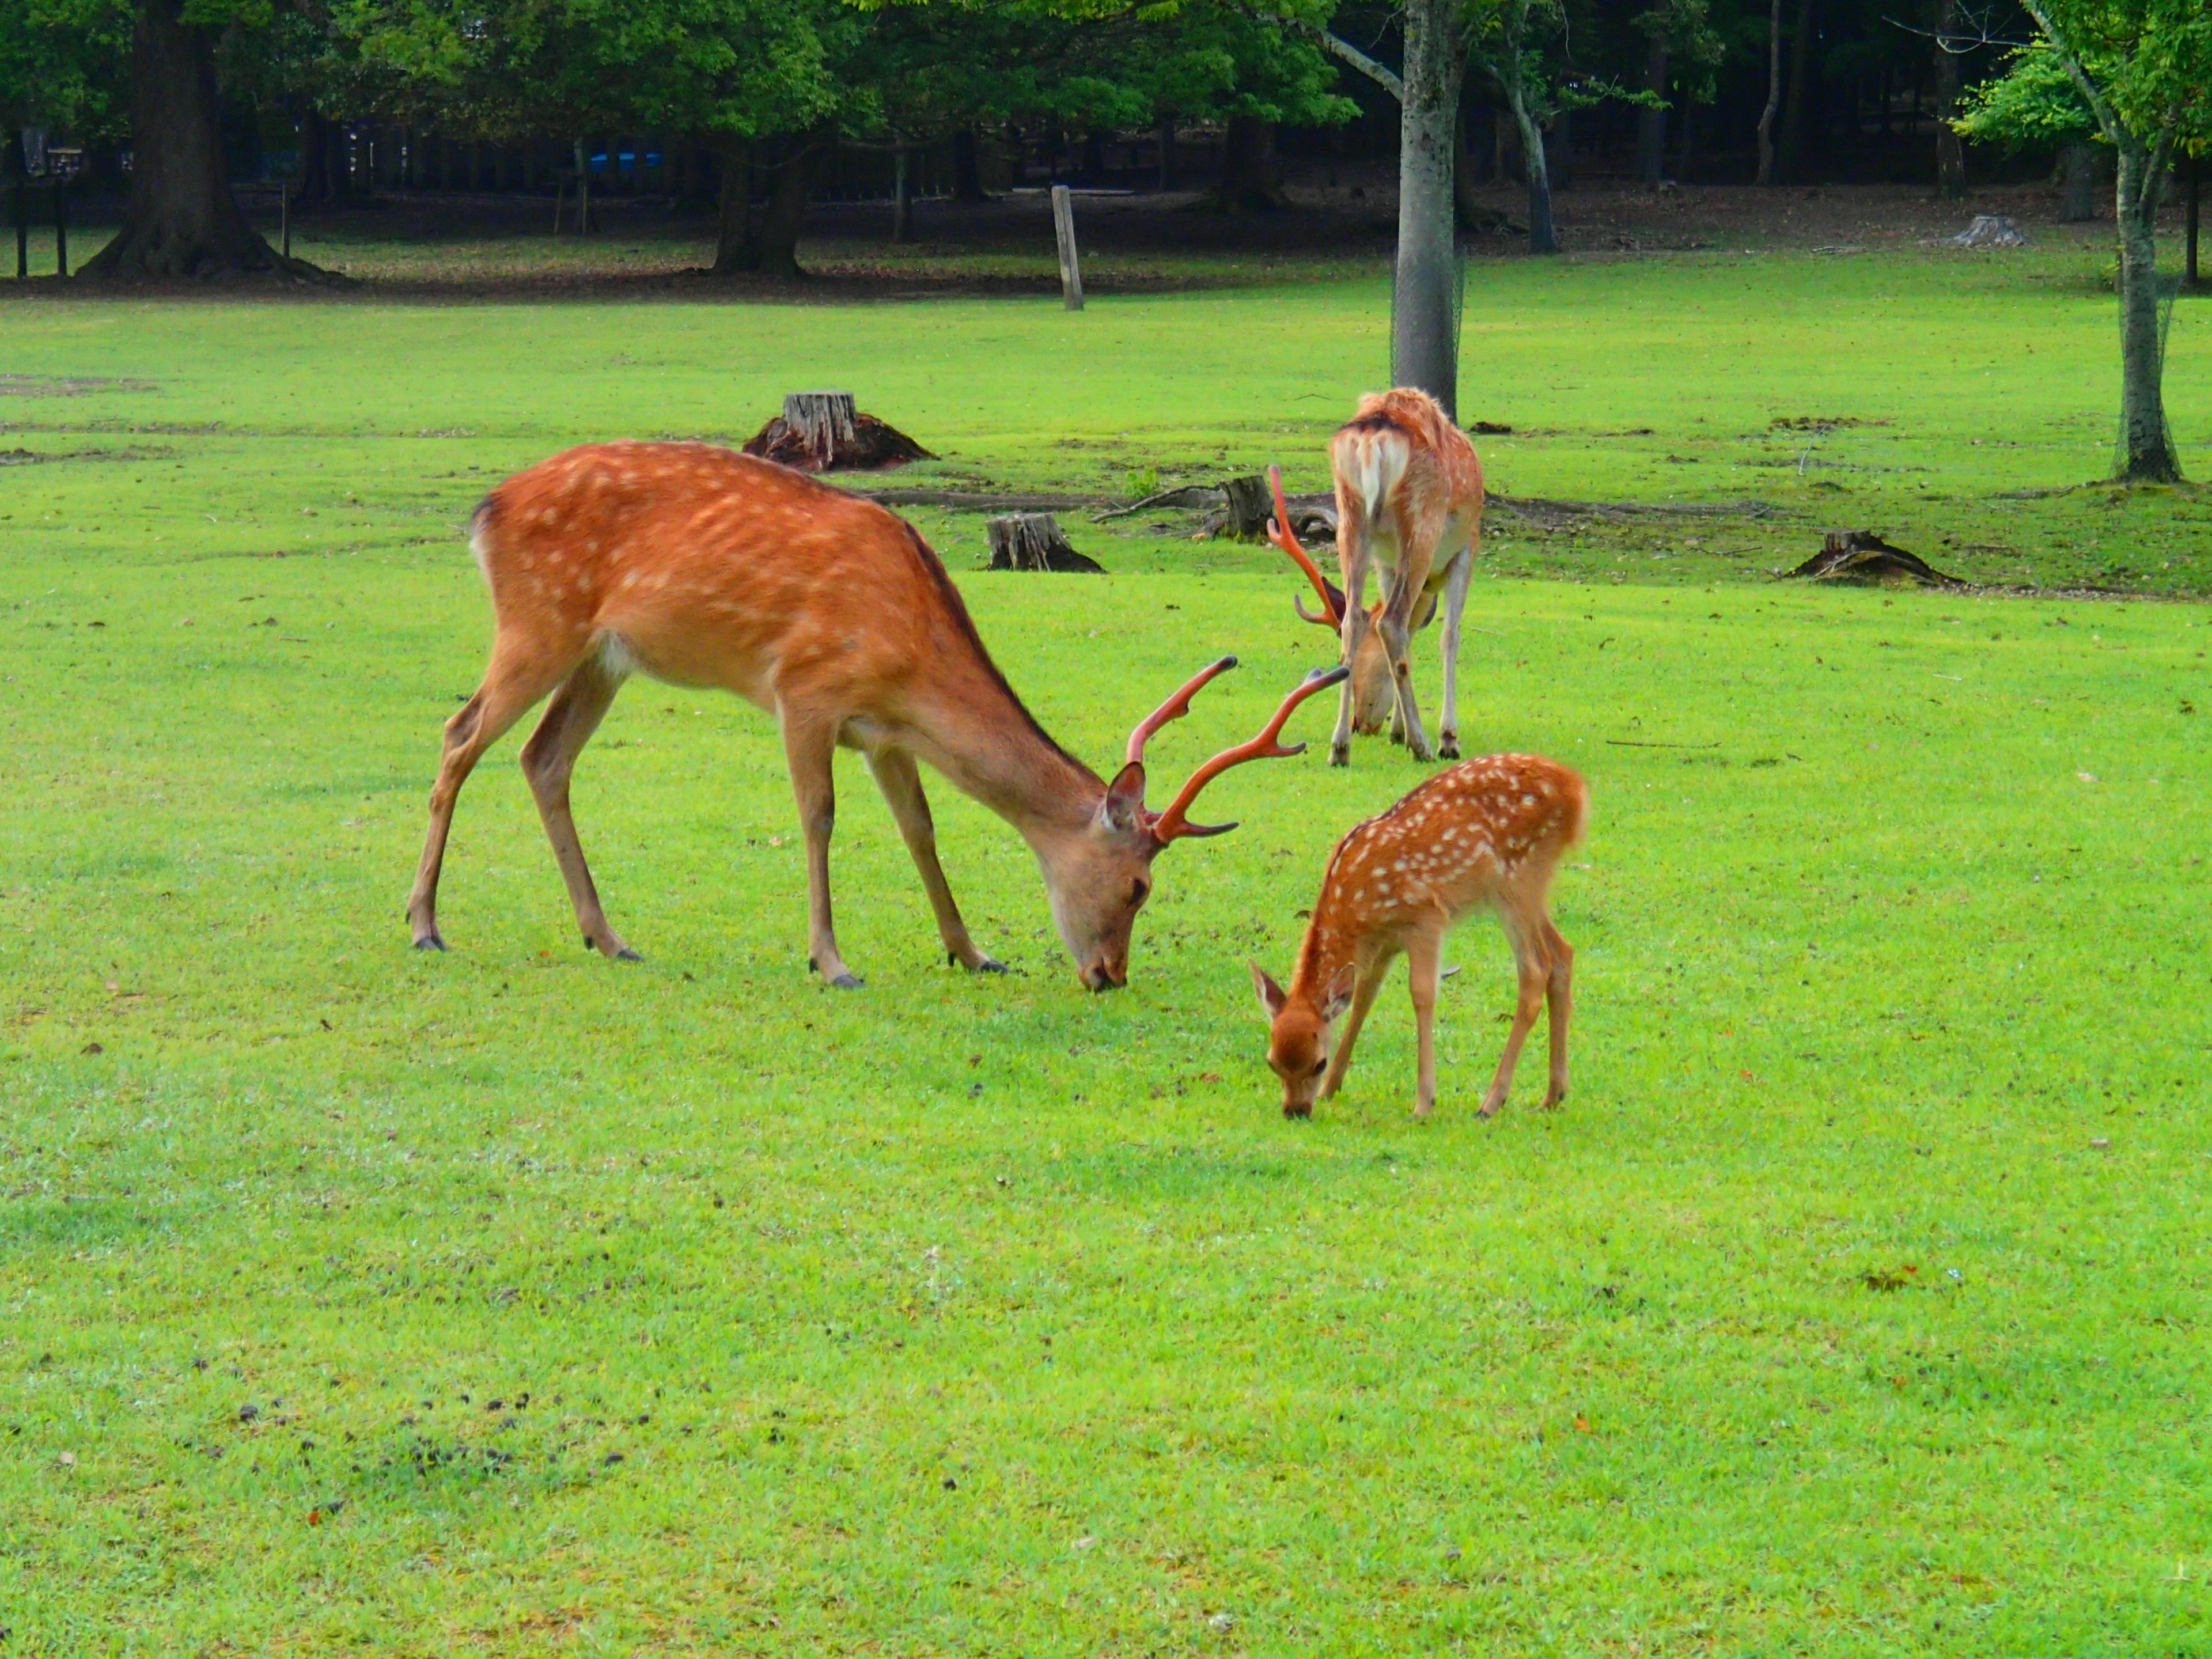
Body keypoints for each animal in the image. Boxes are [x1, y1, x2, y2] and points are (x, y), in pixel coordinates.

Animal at [411, 438, 1344, 986]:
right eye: (1141, 885)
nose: (1109, 975)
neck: (909, 653)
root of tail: (483, 512)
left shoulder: (885, 731)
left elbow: (920, 829)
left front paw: (973, 951)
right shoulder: (805, 689)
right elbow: (819, 817)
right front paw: (831, 959)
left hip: (602, 658)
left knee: (543, 758)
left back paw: (608, 937)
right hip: (537, 622)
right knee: (460, 735)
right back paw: (424, 925)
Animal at [1256, 756, 1584, 1123]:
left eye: (1317, 1063)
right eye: (1271, 1063)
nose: (1295, 1111)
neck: (1357, 909)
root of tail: (1575, 790)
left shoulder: (1426, 918)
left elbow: (1422, 995)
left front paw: (1424, 1102)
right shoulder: (1384, 944)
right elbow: (1364, 997)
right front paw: (1332, 1089)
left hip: (1517, 881)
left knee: (1536, 970)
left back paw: (1491, 1102)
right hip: (1530, 889)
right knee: (1563, 953)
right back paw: (1553, 1095)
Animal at [1265, 393, 1486, 770]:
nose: (1363, 724)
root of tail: (1372, 439)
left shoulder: (1386, 563)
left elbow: (1411, 635)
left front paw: (1397, 731)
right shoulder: (1466, 548)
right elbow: (1449, 637)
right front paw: (1447, 738)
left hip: (1350, 518)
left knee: (1354, 621)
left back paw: (1339, 748)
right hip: (1421, 524)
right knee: (1391, 623)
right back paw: (1423, 745)